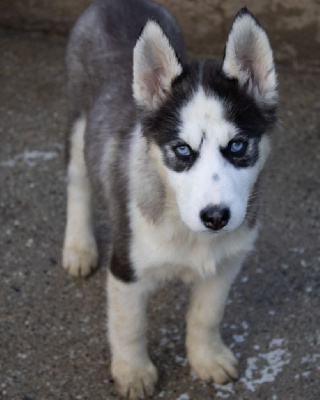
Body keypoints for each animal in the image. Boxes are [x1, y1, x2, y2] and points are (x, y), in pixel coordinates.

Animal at [62, 1, 278, 398]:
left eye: (237, 146)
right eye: (182, 150)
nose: (216, 217)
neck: (190, 234)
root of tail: (117, 2)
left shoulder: (226, 264)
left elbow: (206, 315)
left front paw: (207, 357)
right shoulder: (126, 267)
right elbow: (130, 326)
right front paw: (133, 372)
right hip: (78, 120)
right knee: (78, 182)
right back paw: (79, 247)